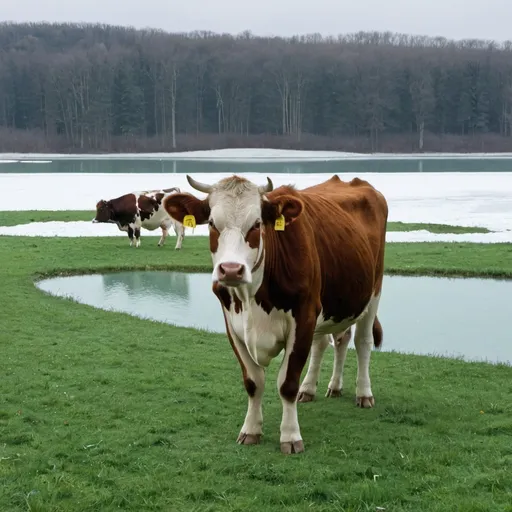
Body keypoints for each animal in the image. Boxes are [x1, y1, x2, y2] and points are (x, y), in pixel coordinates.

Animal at [162, 174, 386, 454]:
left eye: (257, 224)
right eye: (212, 223)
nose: (231, 270)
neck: (251, 299)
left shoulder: (304, 317)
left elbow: (287, 383)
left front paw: (290, 436)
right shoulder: (232, 325)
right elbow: (253, 382)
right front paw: (250, 430)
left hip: (373, 291)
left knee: (362, 342)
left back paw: (363, 393)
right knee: (334, 341)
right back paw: (321, 387)